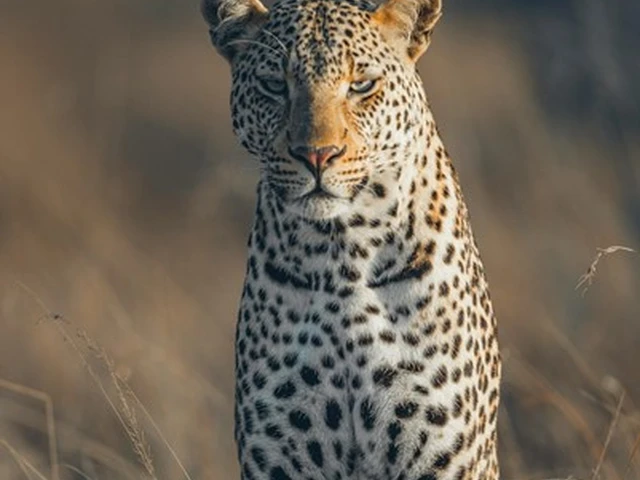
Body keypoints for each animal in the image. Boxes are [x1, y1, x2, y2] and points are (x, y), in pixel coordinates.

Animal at [201, 0, 501, 478]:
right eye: (274, 85)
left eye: (361, 86)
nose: (317, 155)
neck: (343, 253)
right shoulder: (279, 456)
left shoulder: (442, 456)